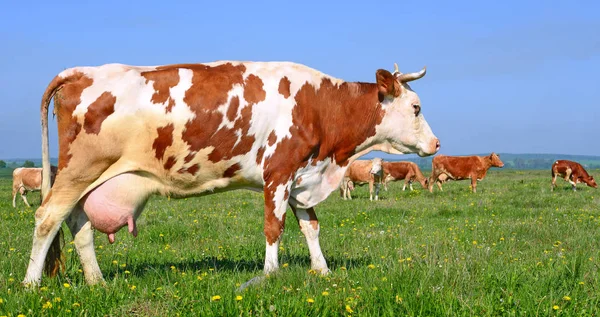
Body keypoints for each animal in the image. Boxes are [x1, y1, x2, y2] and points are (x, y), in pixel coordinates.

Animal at [23, 60, 438, 286]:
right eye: (416, 107)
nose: (435, 144)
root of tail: (79, 72)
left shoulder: (302, 175)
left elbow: (311, 227)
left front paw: (323, 272)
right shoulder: (279, 172)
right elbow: (274, 227)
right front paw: (269, 274)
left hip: (91, 179)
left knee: (78, 224)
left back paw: (98, 282)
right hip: (78, 169)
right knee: (48, 217)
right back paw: (31, 284)